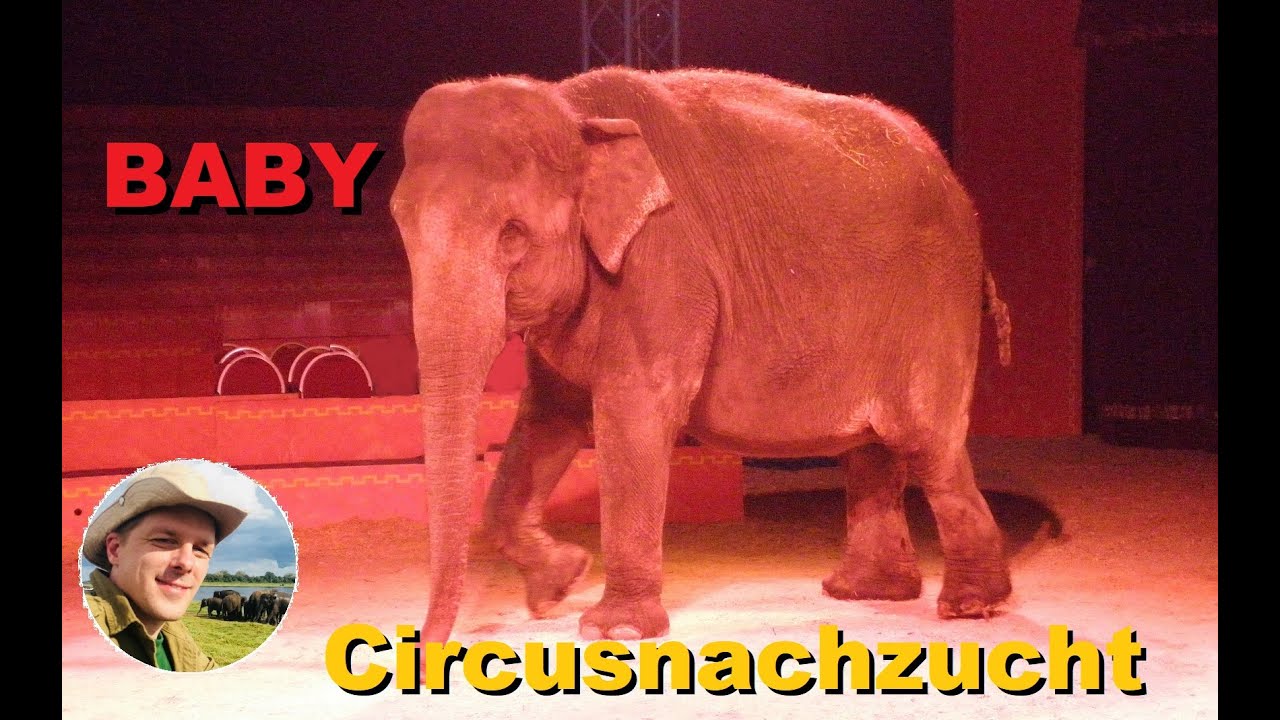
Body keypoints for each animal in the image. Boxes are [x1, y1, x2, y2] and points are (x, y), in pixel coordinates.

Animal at [392, 66, 1014, 643]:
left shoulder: (665, 262)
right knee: (872, 452)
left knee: (928, 442)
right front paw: (561, 582)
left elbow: (634, 410)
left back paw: (969, 606)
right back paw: (865, 593)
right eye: (401, 224)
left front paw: (614, 630)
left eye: (513, 233)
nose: (423, 654)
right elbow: (550, 415)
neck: (575, 113)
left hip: (934, 303)